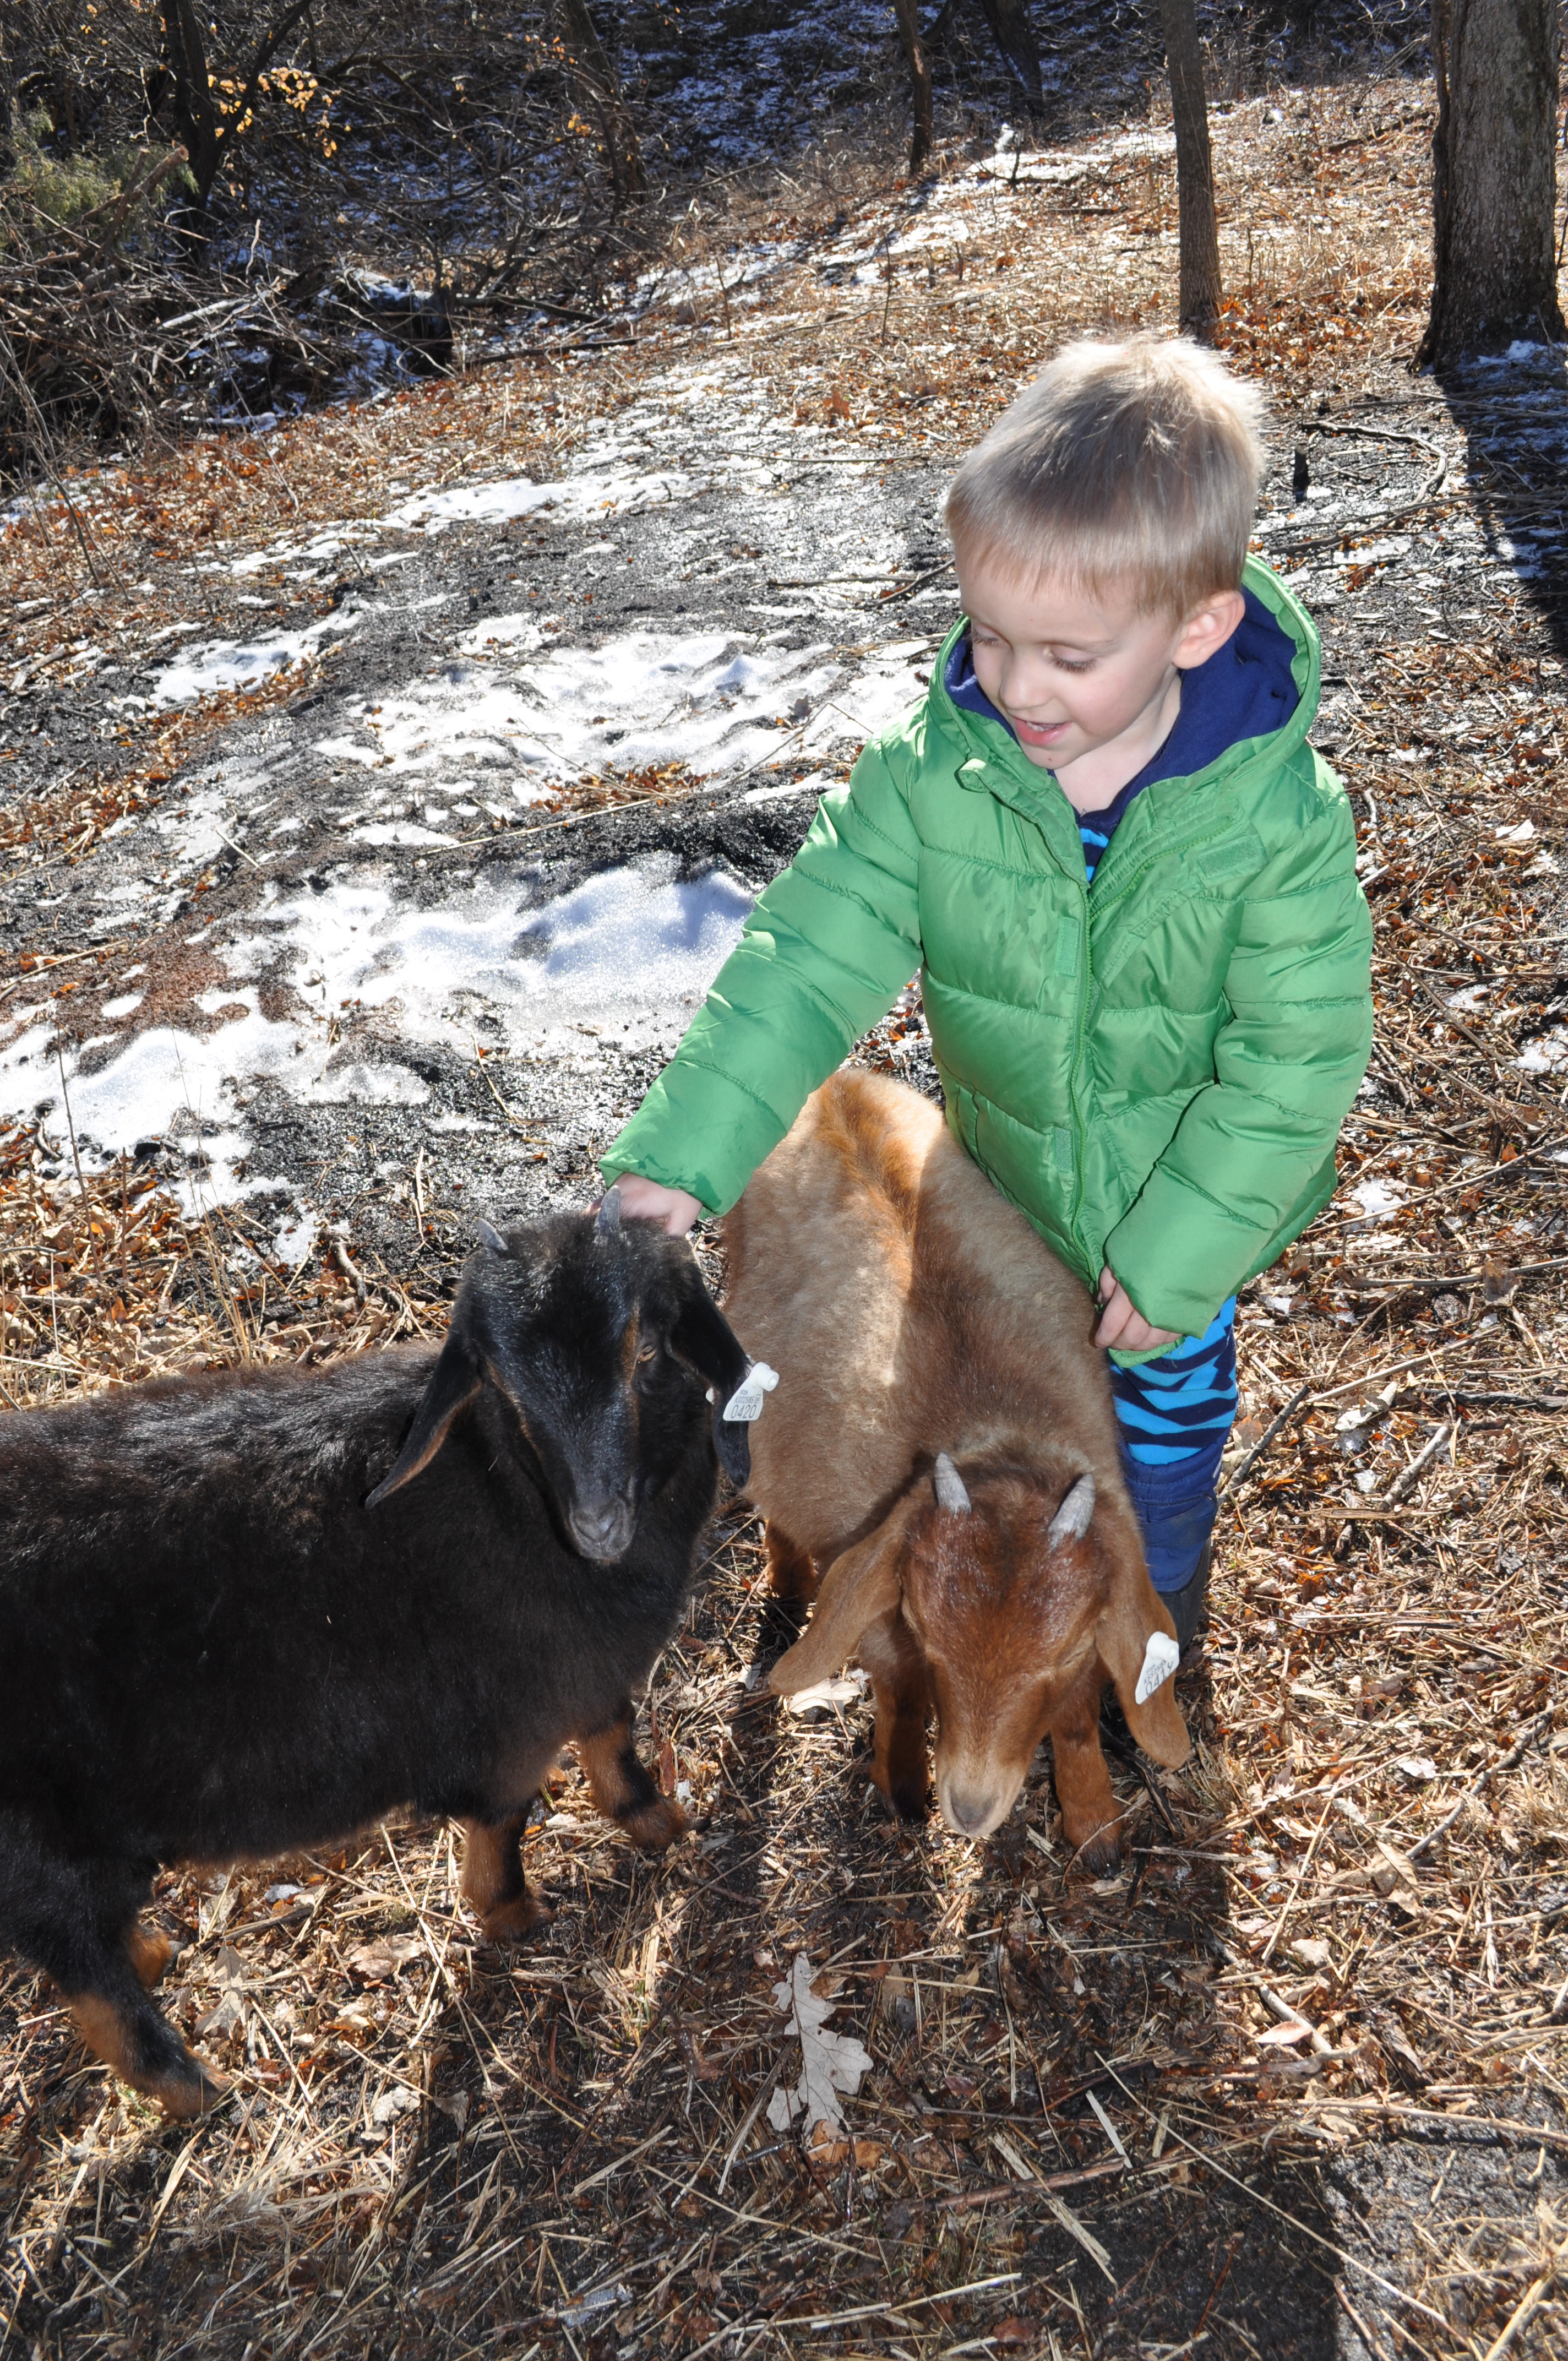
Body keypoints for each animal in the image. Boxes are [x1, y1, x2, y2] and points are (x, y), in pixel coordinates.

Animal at [0, 1192, 752, 2116]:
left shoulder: (588, 1667)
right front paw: (512, 1916)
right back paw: (197, 2089)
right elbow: (506, 1817)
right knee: (90, 1980)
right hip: (41, 1851)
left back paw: (153, 1958)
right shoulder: (515, 1713)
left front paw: (655, 1820)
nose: (598, 1526)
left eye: (646, 1349)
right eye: (505, 1388)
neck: (504, 1490)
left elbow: (613, 1738)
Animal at [721, 1071, 1190, 1868]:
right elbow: (900, 1687)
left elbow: (1073, 1719)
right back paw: (786, 1586)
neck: (996, 1434)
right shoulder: (872, 1584)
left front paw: (1095, 1826)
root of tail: (834, 1085)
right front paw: (906, 1785)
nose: (969, 1810)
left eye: (1063, 1650)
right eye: (926, 1626)